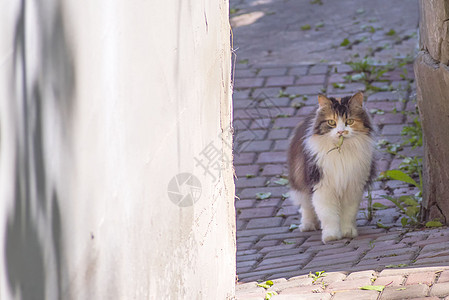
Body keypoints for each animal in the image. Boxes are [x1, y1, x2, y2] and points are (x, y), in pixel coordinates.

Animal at [288, 92, 374, 245]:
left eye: (349, 121)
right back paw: (308, 225)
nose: (341, 132)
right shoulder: (322, 187)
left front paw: (348, 232)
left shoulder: (352, 187)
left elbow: (348, 214)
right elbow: (328, 215)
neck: (341, 151)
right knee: (306, 205)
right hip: (300, 180)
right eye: (331, 123)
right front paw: (331, 236)